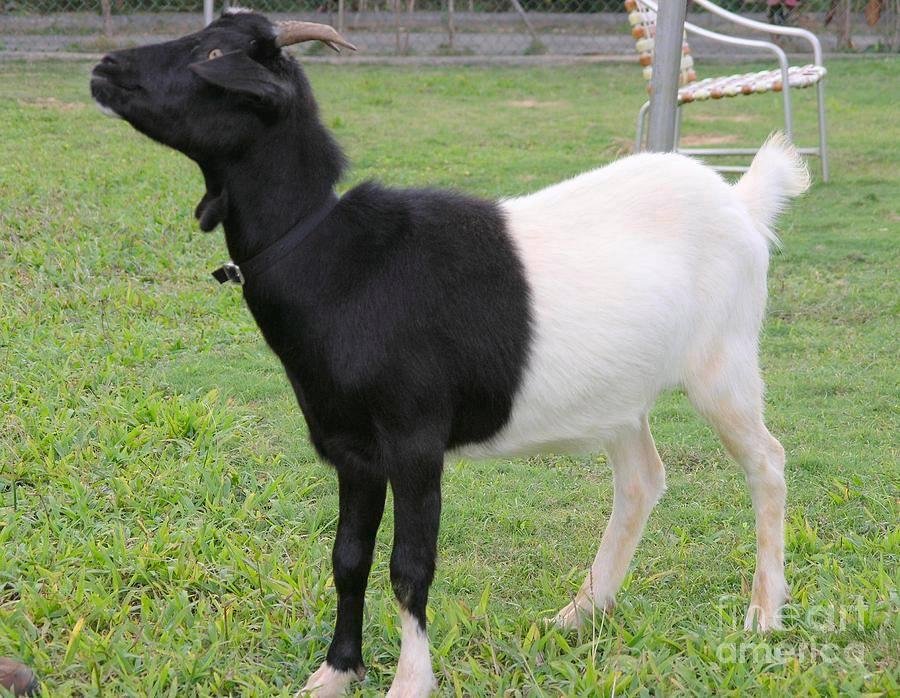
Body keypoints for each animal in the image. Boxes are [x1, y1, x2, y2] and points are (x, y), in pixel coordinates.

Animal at [91, 10, 809, 696]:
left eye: (214, 55)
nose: (104, 67)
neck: (335, 258)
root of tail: (741, 201)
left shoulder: (414, 440)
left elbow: (410, 566)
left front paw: (410, 682)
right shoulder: (350, 447)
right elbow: (347, 557)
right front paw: (335, 671)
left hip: (724, 361)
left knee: (766, 462)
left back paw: (762, 614)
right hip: (620, 395)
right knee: (641, 479)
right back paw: (578, 614)